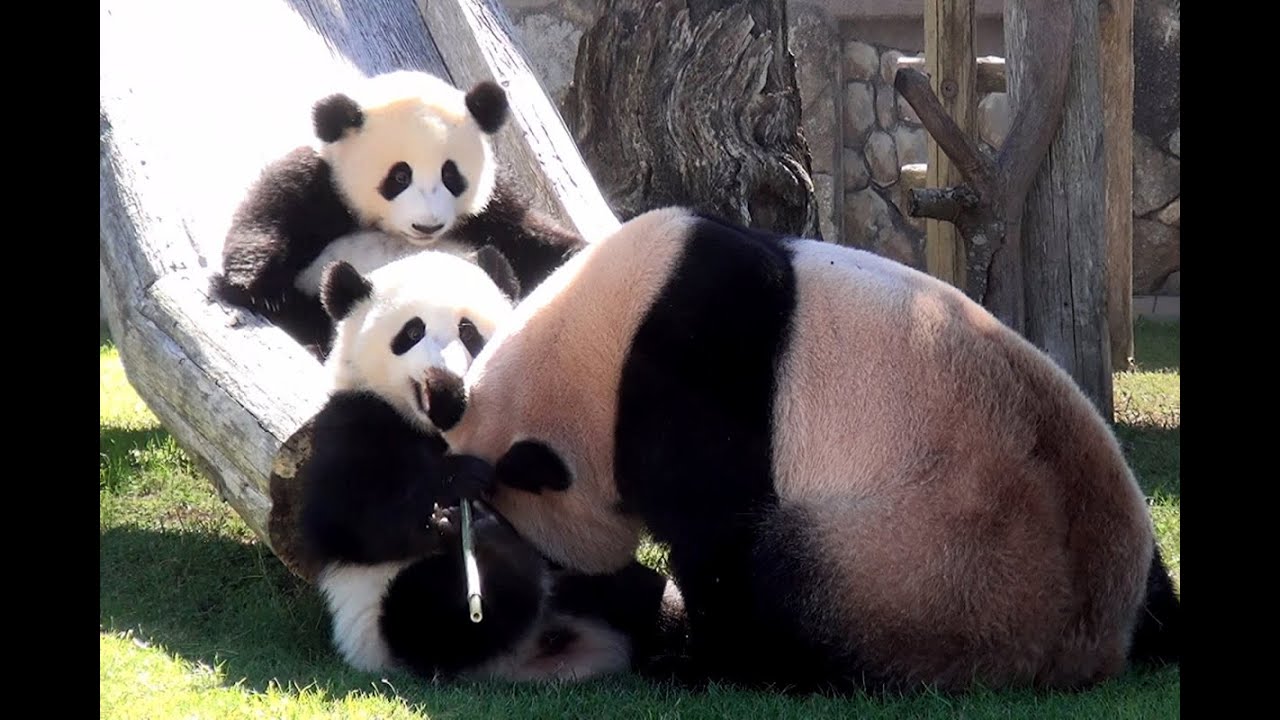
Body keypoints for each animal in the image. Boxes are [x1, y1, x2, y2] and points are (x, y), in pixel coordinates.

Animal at [209, 69, 585, 359]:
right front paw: (255, 289)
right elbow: (270, 212)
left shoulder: (490, 211)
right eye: (400, 176)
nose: (428, 225)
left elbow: (529, 235)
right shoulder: (321, 182)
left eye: (451, 175)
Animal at [298, 249, 687, 684]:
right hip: (378, 620)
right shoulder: (353, 418)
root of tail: (525, 659)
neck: (438, 430)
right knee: (430, 611)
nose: (447, 383)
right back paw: (493, 555)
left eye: (468, 332)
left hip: (590, 587)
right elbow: (346, 521)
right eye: (412, 333)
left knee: (646, 598)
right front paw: (460, 478)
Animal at [434, 206, 1181, 696]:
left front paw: (692, 658)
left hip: (923, 573)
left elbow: (717, 537)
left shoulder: (688, 384)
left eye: (534, 543)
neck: (597, 348)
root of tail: (1089, 641)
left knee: (785, 572)